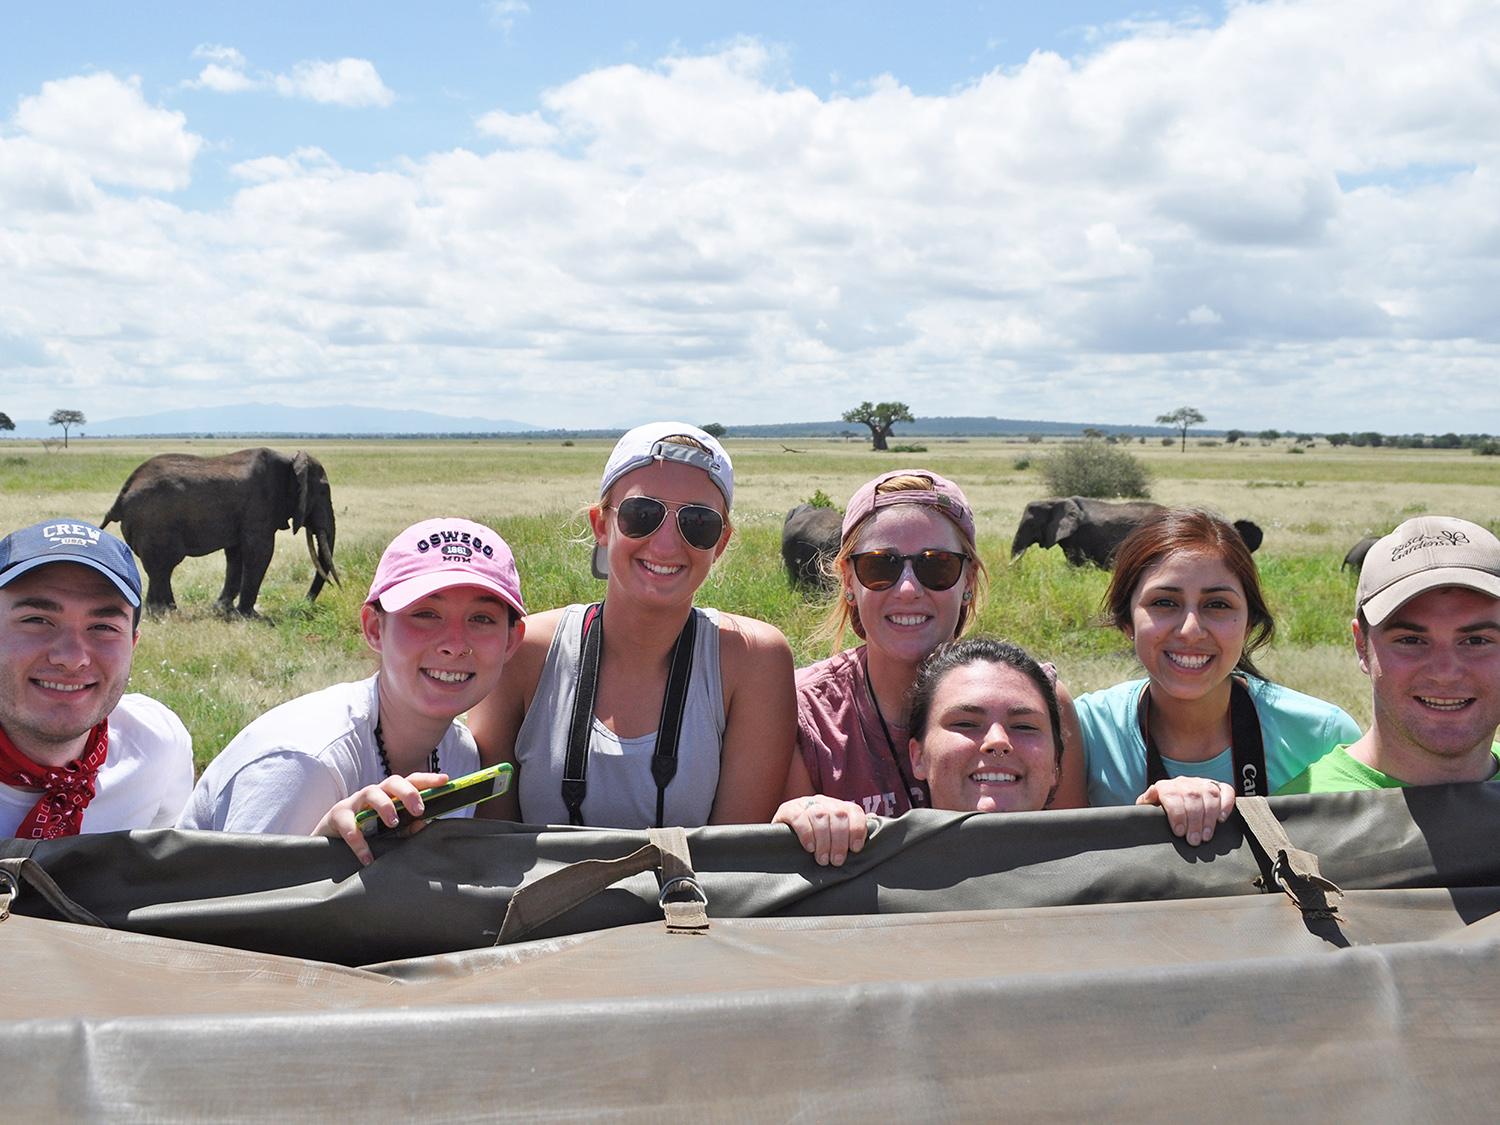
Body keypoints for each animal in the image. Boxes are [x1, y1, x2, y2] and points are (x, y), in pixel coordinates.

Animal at [102, 450, 340, 618]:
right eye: (323, 491)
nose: (304, 603)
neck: (290, 459)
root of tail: (121, 496)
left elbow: (236, 555)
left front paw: (223, 610)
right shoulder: (260, 507)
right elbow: (259, 552)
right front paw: (249, 616)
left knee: (161, 569)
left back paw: (168, 611)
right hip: (155, 524)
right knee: (163, 565)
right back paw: (162, 613)